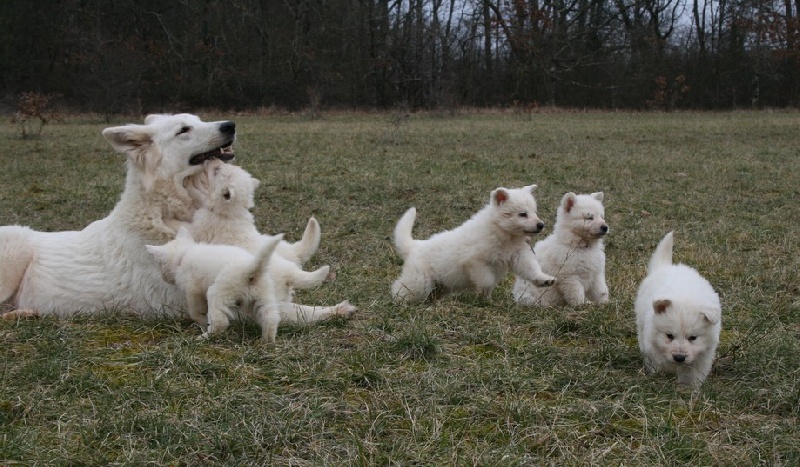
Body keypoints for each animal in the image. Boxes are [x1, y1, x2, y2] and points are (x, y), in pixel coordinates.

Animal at [147, 229, 284, 344]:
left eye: (159, 265)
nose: (164, 278)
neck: (183, 255)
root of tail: (249, 269)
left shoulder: (193, 291)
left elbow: (196, 313)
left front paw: (203, 325)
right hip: (264, 298)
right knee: (270, 319)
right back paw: (267, 342)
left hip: (217, 293)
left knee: (220, 323)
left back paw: (204, 337)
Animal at [188, 159, 356, 324]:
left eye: (216, 170)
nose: (210, 159)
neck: (230, 213)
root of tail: (290, 270)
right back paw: (341, 309)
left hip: (271, 302)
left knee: (304, 314)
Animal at [392, 185, 556, 306]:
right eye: (522, 214)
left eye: (535, 212)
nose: (541, 225)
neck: (503, 233)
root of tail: (414, 246)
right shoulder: (477, 262)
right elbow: (487, 281)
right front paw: (485, 299)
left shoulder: (519, 256)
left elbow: (531, 269)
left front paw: (544, 279)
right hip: (419, 281)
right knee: (400, 288)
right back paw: (399, 303)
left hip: (439, 286)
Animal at [636, 232, 720, 390]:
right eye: (669, 335)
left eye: (693, 337)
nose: (679, 357)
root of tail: (667, 266)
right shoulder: (653, 344)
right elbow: (660, 361)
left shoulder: (703, 354)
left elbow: (692, 373)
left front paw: (688, 388)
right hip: (641, 322)